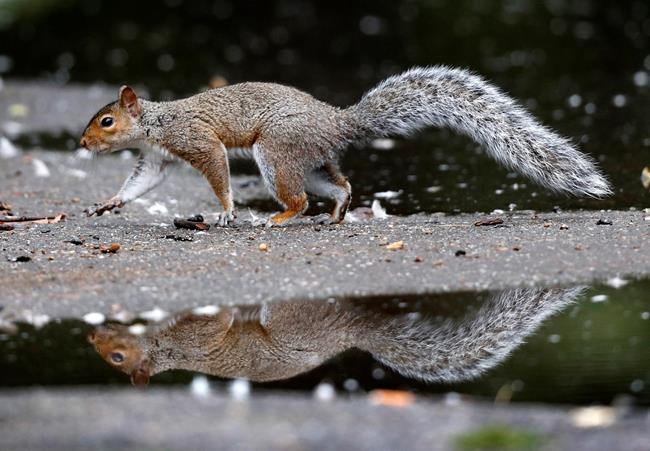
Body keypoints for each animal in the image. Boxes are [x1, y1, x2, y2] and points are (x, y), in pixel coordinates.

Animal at [80, 66, 611, 226]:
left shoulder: (195, 140)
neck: (155, 122)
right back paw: (336, 212)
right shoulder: (157, 159)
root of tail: (336, 122)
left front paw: (228, 210)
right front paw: (108, 203)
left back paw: (281, 218)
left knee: (297, 198)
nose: (83, 143)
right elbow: (141, 184)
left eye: (107, 121)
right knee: (339, 184)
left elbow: (216, 169)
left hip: (276, 153)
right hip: (307, 160)